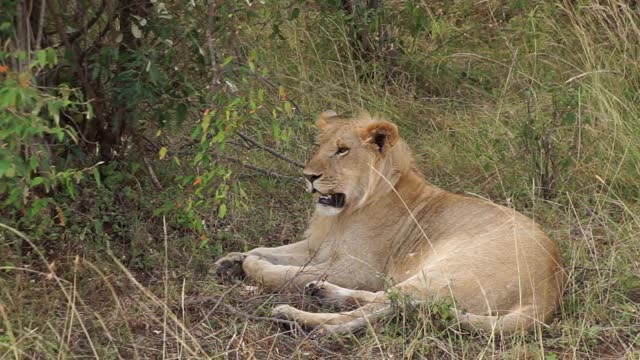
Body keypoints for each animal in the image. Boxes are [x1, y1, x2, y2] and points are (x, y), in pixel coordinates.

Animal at [215, 110, 564, 334]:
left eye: (342, 150)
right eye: (319, 147)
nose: (308, 176)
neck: (345, 213)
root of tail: (548, 293)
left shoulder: (360, 268)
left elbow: (287, 273)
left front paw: (253, 268)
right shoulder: (318, 246)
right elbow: (270, 250)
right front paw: (232, 259)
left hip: (441, 272)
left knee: (375, 309)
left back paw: (297, 317)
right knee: (386, 301)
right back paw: (322, 292)